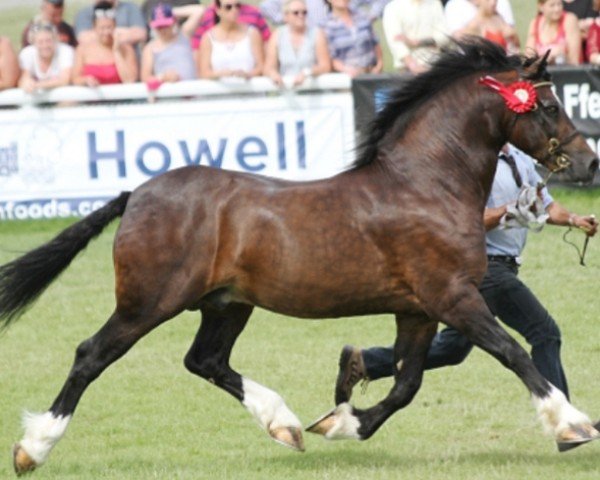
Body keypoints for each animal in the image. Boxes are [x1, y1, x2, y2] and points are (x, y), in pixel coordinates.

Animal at [1, 39, 600, 474]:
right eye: (549, 106)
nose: (588, 163)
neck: (425, 185)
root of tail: (138, 194)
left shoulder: (418, 309)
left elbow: (406, 383)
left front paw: (341, 422)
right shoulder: (453, 297)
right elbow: (513, 353)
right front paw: (572, 423)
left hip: (226, 304)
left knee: (205, 361)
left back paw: (284, 425)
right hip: (149, 302)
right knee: (90, 355)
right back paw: (34, 447)